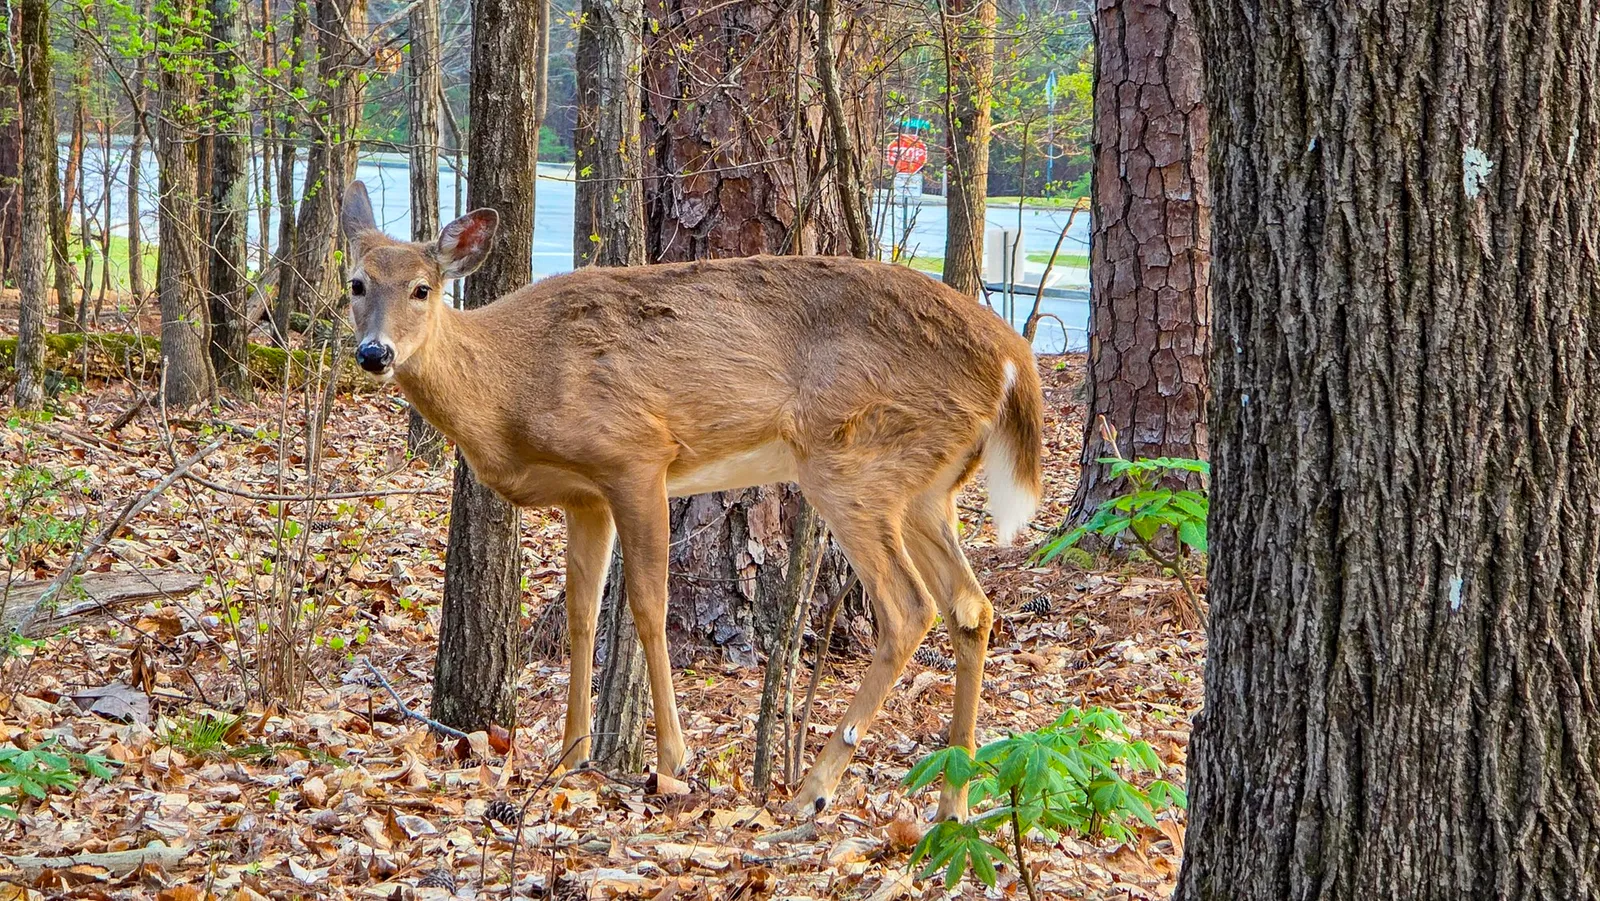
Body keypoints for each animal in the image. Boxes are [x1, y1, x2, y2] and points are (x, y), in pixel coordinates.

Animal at [339, 180, 1043, 821]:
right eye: (356, 283)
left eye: (422, 288)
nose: (374, 353)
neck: (513, 384)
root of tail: (1015, 357)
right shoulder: (585, 497)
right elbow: (582, 614)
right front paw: (570, 757)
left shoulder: (636, 455)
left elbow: (647, 607)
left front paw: (672, 760)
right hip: (924, 487)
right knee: (970, 608)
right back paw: (953, 803)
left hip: (851, 462)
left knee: (909, 607)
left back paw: (812, 792)